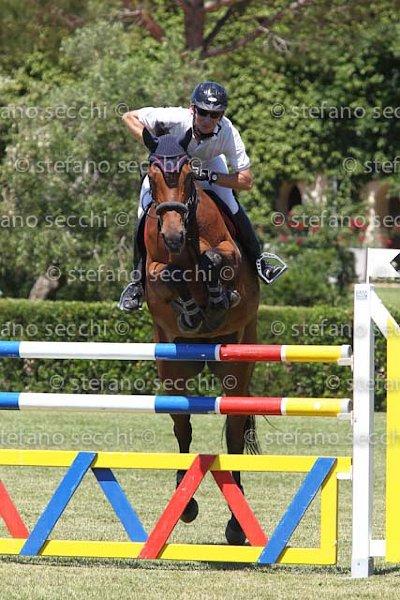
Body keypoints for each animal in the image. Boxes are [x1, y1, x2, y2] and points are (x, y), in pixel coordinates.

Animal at [142, 127, 260, 544]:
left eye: (189, 174)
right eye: (152, 173)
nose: (174, 235)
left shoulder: (227, 252)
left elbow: (215, 260)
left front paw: (218, 295)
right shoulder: (156, 269)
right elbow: (168, 273)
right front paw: (191, 308)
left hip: (237, 363)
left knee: (235, 433)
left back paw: (237, 525)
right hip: (172, 369)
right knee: (182, 425)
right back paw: (185, 503)